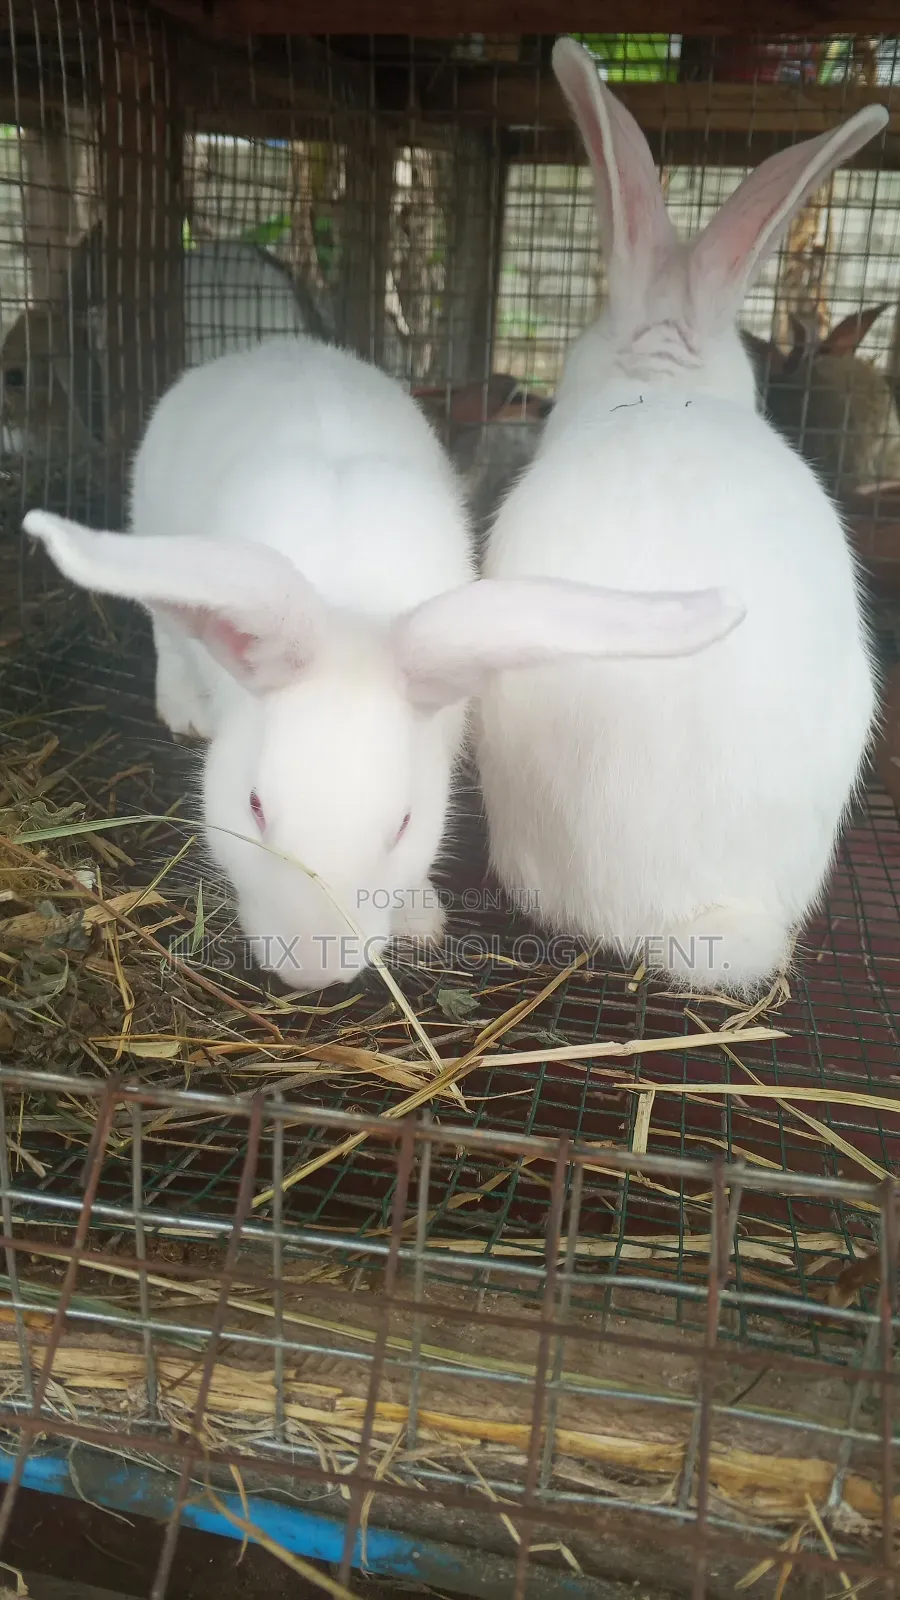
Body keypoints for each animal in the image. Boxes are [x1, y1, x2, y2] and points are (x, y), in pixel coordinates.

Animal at [24, 333, 744, 992]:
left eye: (403, 824)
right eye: (254, 806)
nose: (313, 969)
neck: (350, 612)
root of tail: (277, 346)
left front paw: (420, 922)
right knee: (167, 637)